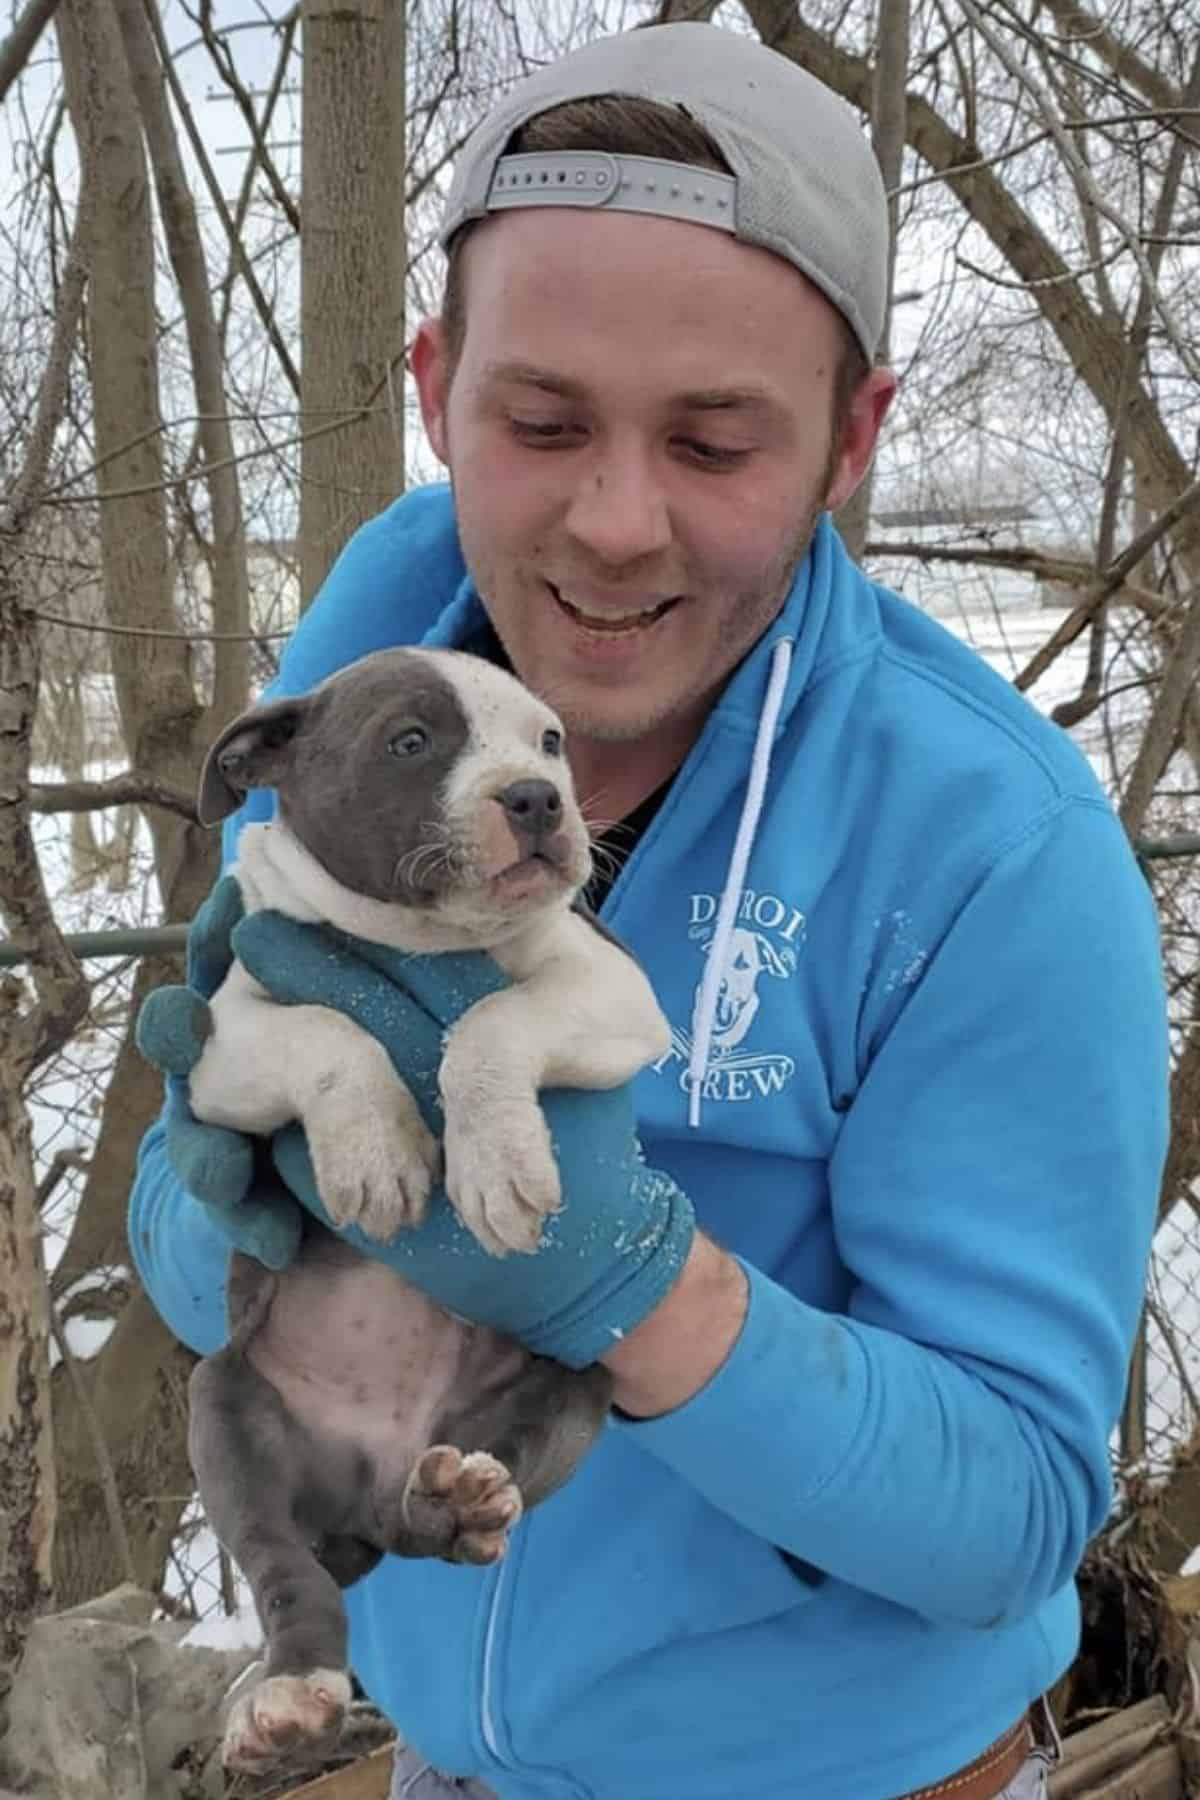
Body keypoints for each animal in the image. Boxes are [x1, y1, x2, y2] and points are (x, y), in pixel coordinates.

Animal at [179, 648, 672, 1771]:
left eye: (551, 742)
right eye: (409, 743)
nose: (536, 799)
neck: (418, 940)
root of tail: (370, 1488)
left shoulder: (614, 988)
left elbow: (490, 1018)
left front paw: (496, 1166)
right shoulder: (224, 1043)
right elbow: (329, 1028)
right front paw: (377, 1155)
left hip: (569, 1391)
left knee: (457, 1507)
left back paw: (453, 1503)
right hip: (225, 1409)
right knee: (286, 1575)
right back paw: (283, 1697)